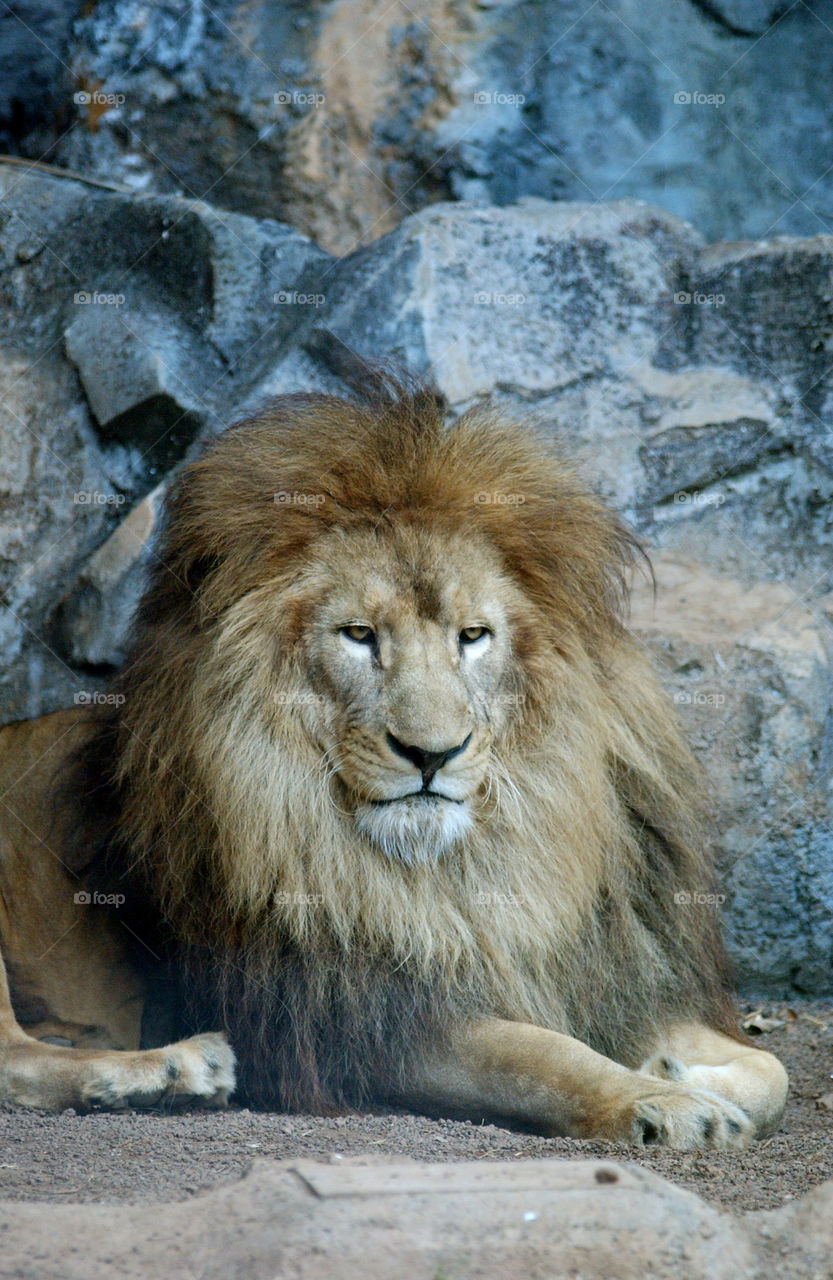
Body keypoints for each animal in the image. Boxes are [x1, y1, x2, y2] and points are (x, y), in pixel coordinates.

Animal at [0, 373, 787, 1147]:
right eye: (358, 635)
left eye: (472, 635)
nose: (430, 754)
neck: (455, 877)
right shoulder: (349, 1020)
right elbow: (539, 1055)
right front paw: (665, 1103)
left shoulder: (610, 972)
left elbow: (770, 1070)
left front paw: (678, 1071)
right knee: (17, 1062)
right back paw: (176, 1069)